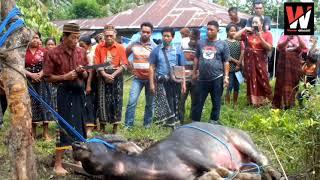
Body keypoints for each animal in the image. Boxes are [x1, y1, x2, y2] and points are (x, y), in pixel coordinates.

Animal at [72, 121, 280, 179]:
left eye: (100, 141)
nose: (76, 144)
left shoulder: (192, 155)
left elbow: (220, 170)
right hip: (245, 161)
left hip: (243, 142)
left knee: (262, 159)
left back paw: (275, 173)